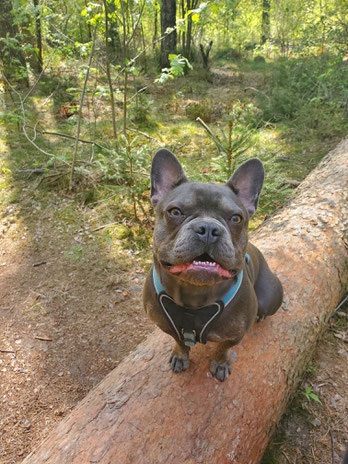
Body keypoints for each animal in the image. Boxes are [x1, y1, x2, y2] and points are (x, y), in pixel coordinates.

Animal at [143, 149, 282, 380]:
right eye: (175, 212)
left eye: (236, 218)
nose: (208, 228)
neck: (194, 295)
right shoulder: (167, 327)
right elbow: (179, 341)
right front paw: (180, 355)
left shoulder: (235, 334)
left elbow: (223, 348)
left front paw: (220, 363)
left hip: (268, 298)